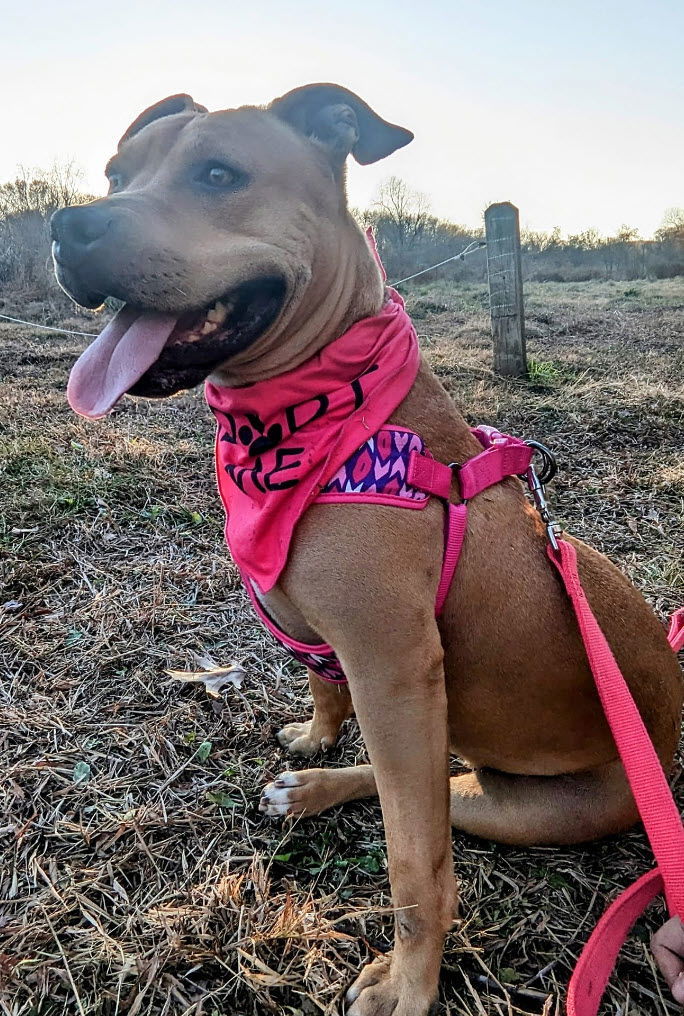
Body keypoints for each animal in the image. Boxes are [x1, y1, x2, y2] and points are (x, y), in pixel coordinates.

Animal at [50, 83, 678, 1011]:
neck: (314, 419)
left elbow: (416, 863)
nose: (70, 225)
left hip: (541, 805)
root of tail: (663, 748)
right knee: (418, 785)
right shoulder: (347, 659)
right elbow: (327, 688)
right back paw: (311, 787)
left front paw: (410, 985)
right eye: (116, 175)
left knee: (429, 807)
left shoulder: (393, 671)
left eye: (217, 174)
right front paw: (317, 743)